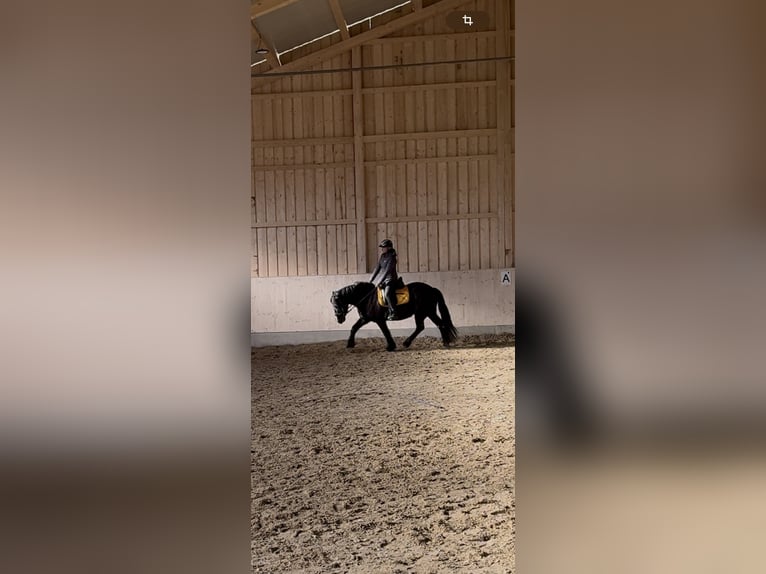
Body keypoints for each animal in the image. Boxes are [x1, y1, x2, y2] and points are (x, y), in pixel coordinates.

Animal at [330, 281, 458, 351]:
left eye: (336, 303)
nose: (339, 318)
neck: (367, 298)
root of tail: (431, 289)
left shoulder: (379, 320)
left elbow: (386, 332)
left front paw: (390, 346)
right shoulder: (365, 318)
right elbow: (354, 328)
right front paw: (350, 344)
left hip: (425, 312)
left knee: (434, 325)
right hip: (425, 313)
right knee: (427, 326)